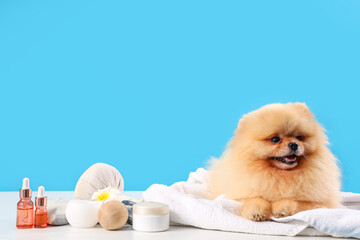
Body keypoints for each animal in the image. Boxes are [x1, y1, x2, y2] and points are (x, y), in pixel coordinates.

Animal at [208, 102, 340, 221]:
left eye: (299, 138)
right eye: (275, 139)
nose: (294, 144)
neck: (281, 174)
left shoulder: (321, 203)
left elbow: (297, 202)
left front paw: (282, 209)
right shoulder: (241, 195)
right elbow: (253, 199)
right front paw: (256, 212)